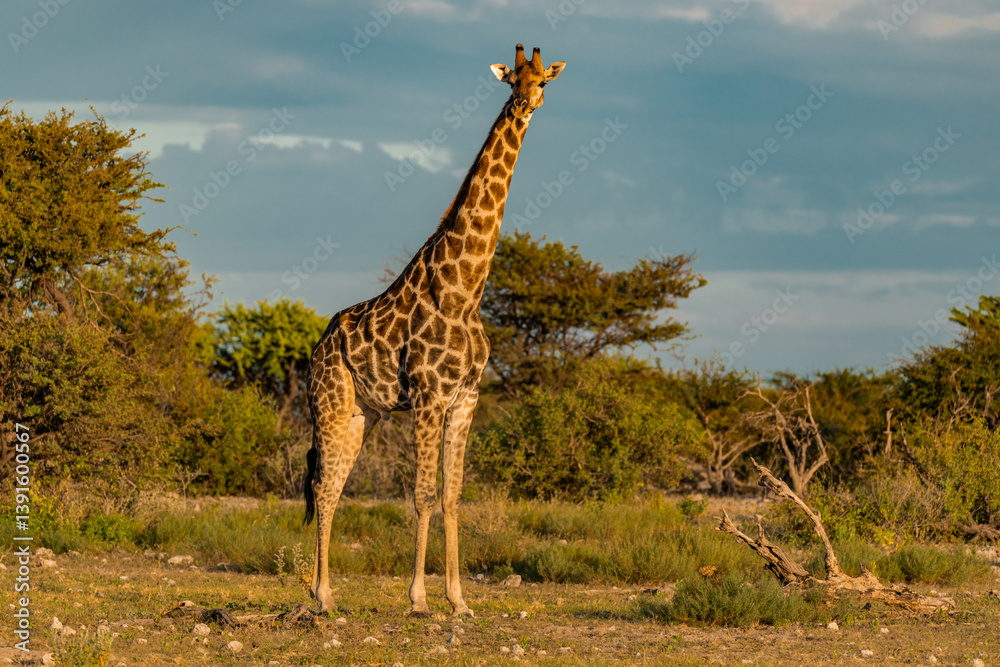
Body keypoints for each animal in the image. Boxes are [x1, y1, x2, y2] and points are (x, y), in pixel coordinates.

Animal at [304, 44, 565, 617]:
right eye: (511, 79)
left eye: (543, 81)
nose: (525, 104)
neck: (465, 290)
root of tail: (317, 348)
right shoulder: (428, 396)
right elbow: (422, 494)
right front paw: (419, 599)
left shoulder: (465, 399)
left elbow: (452, 495)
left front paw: (459, 600)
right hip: (329, 405)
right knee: (323, 488)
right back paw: (323, 596)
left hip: (362, 414)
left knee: (329, 485)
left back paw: (318, 590)